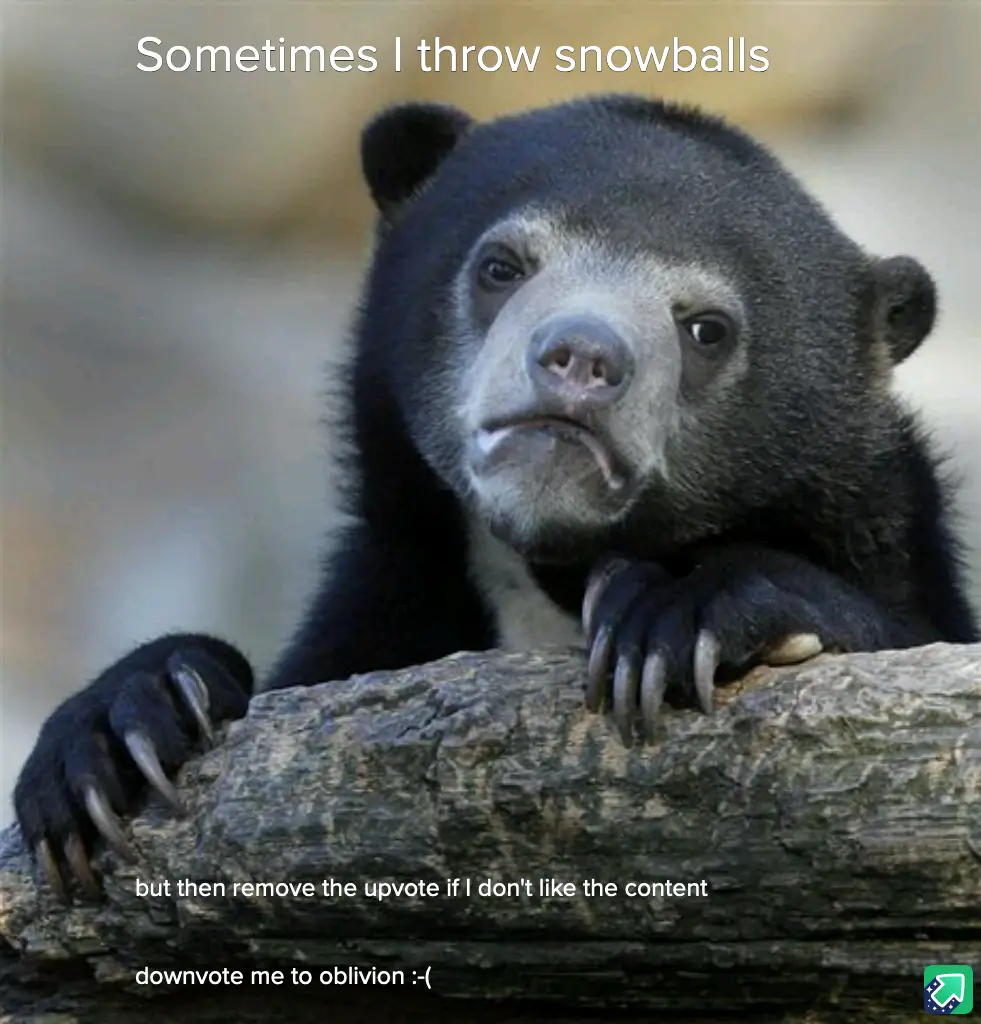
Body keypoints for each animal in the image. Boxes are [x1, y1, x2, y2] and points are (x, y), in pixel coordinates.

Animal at [12, 93, 979, 900]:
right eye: (501, 265)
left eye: (705, 329)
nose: (581, 359)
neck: (546, 572)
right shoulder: (396, 592)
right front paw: (118, 733)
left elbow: (902, 625)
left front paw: (672, 615)